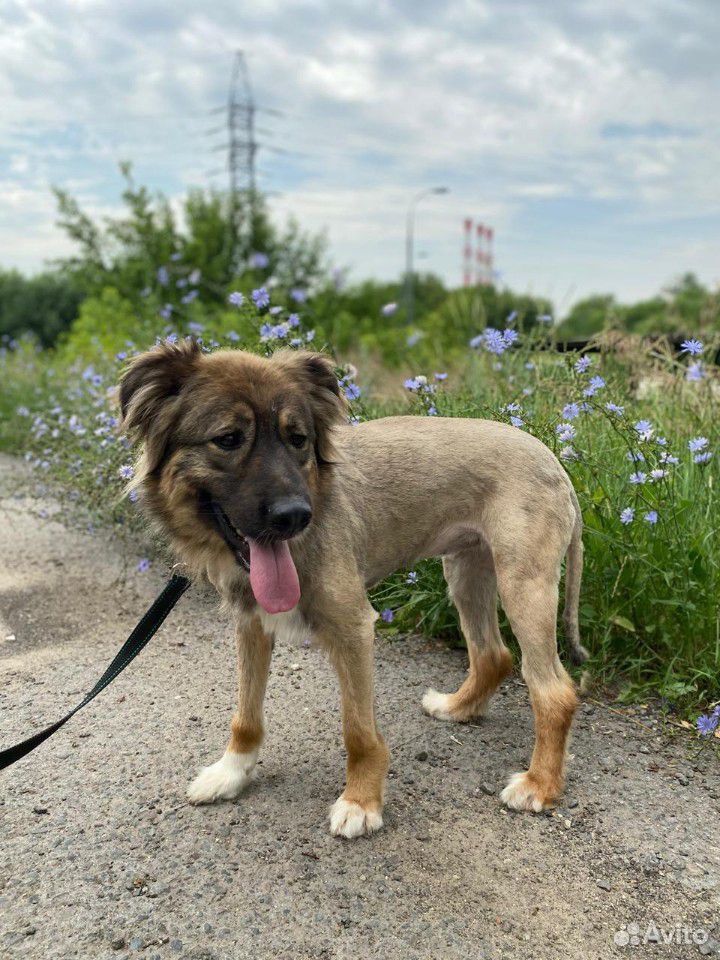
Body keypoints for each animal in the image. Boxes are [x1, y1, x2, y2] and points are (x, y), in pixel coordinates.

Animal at [118, 342, 588, 836]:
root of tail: (552, 458)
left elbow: (358, 731)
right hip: (467, 570)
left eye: (298, 439)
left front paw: (361, 801)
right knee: (492, 655)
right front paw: (231, 772)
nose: (294, 516)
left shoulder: (353, 628)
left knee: (554, 692)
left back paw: (539, 784)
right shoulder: (251, 624)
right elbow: (245, 715)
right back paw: (458, 707)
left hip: (524, 584)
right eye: (227, 439)